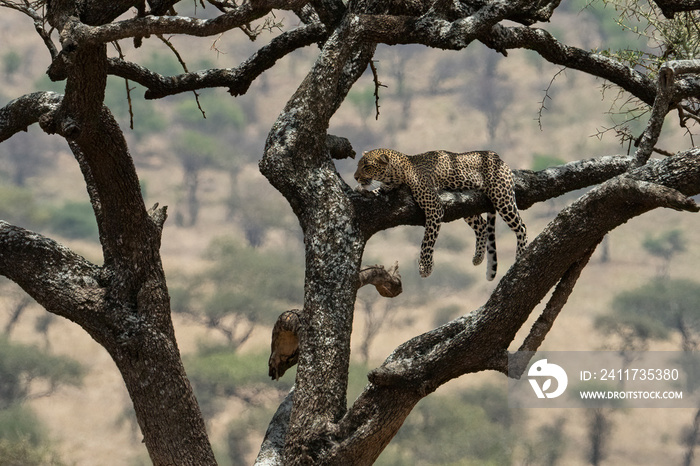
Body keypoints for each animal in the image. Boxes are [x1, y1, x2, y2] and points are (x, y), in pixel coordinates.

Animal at [352, 149, 528, 280]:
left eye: (366, 166)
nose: (355, 177)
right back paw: (478, 257)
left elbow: (428, 238)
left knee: (521, 227)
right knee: (483, 225)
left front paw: (425, 267)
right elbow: (376, 191)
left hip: (502, 197)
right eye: (358, 165)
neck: (396, 173)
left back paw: (521, 256)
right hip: (467, 206)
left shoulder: (434, 206)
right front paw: (361, 191)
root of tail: (496, 156)